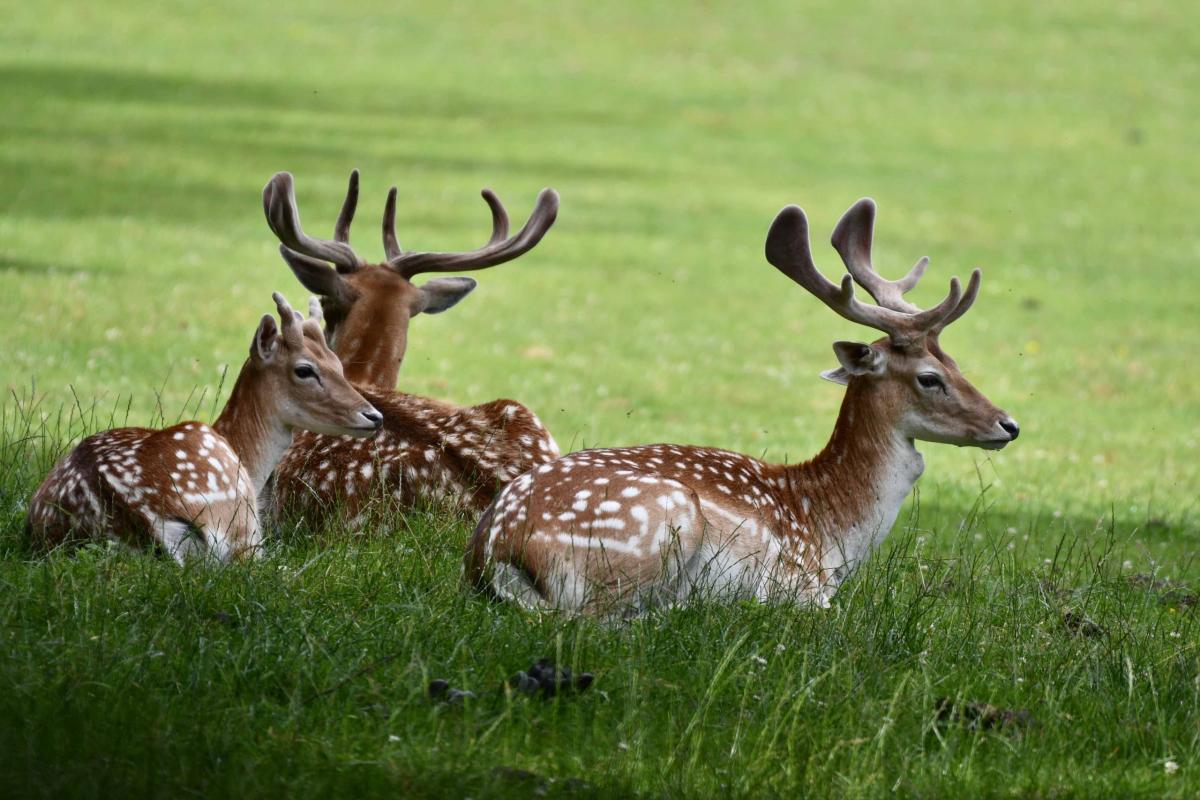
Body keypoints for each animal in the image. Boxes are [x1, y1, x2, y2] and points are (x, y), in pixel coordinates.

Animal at [464, 198, 1020, 615]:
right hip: (658, 522)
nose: (1008, 424)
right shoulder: (801, 586)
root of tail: (497, 550)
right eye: (929, 378)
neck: (830, 533)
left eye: (958, 364)